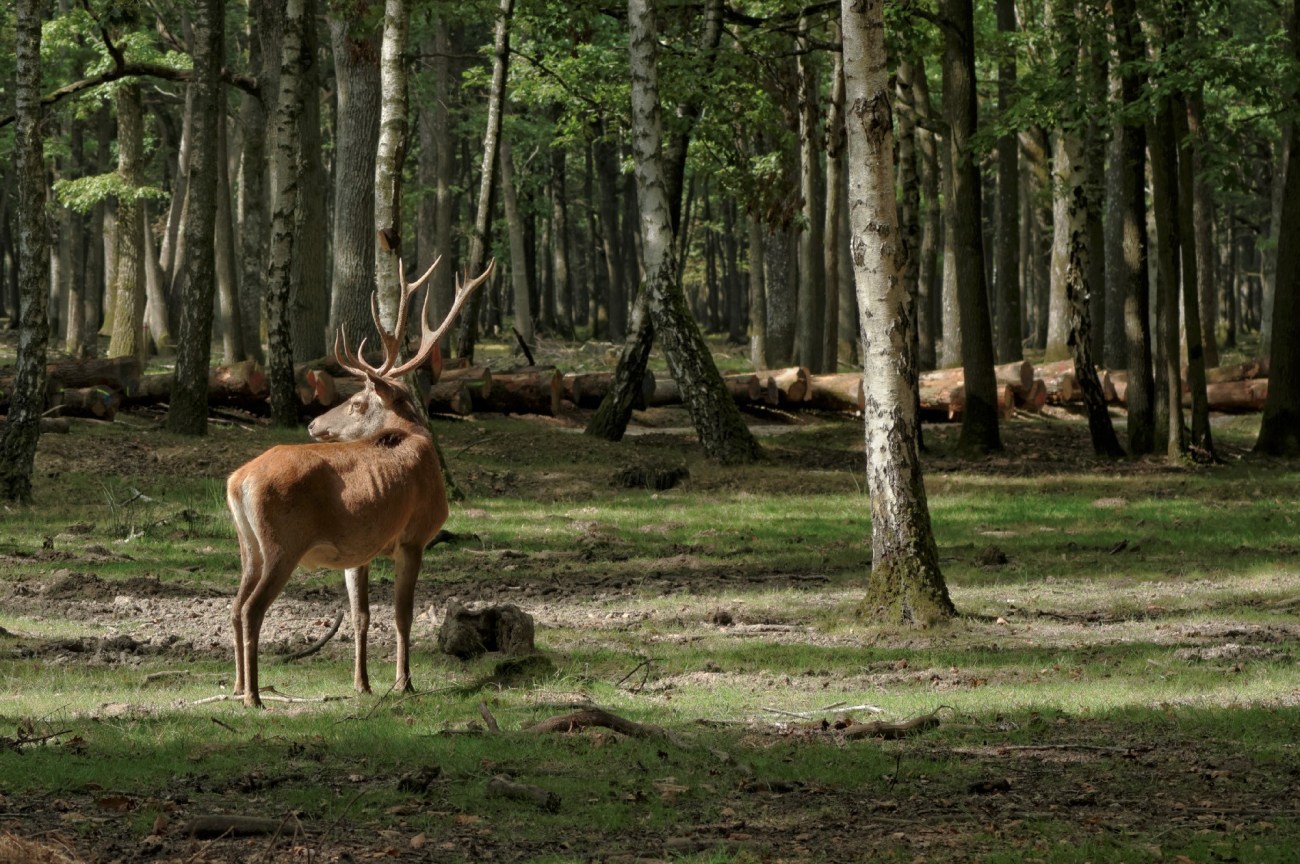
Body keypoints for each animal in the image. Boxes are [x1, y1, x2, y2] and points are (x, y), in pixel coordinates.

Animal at [225, 256, 493, 708]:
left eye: (354, 403)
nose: (313, 423)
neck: (412, 436)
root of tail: (237, 481)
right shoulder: (414, 536)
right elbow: (403, 615)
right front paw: (403, 683)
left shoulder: (360, 549)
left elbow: (361, 615)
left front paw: (362, 683)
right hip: (283, 543)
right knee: (251, 609)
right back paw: (255, 697)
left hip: (250, 545)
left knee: (234, 605)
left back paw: (237, 686)